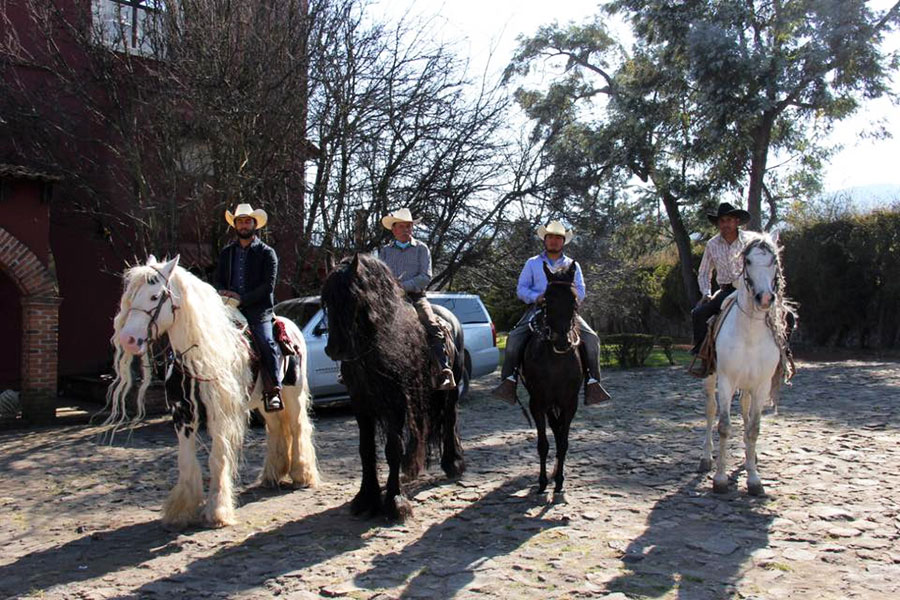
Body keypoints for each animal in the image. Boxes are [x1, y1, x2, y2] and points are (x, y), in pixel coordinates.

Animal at [108, 255, 319, 529]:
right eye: (130, 296)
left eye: (154, 296)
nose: (128, 339)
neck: (198, 358)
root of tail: (291, 326)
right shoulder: (182, 415)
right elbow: (186, 460)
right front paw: (181, 510)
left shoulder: (219, 415)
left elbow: (217, 459)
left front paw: (218, 511)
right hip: (266, 400)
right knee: (275, 428)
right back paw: (272, 474)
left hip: (294, 395)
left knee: (297, 427)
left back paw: (302, 475)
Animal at [320, 253, 465, 521]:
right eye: (326, 300)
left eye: (353, 297)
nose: (335, 348)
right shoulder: (361, 404)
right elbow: (366, 450)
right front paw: (366, 498)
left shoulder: (396, 402)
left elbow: (392, 448)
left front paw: (395, 501)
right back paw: (412, 466)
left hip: (449, 389)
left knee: (449, 420)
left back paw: (453, 463)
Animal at [520, 261, 583, 495]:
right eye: (547, 299)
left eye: (574, 299)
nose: (562, 342)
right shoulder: (537, 403)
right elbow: (543, 444)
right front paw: (542, 482)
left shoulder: (570, 403)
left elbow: (563, 442)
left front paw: (560, 481)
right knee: (554, 430)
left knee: (558, 431)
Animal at [698, 232, 793, 496]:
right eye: (748, 261)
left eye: (774, 261)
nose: (765, 298)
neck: (750, 332)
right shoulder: (726, 381)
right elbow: (724, 426)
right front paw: (720, 479)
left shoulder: (761, 385)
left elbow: (753, 428)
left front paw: (754, 478)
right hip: (710, 378)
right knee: (710, 411)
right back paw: (706, 458)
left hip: (749, 386)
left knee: (745, 410)